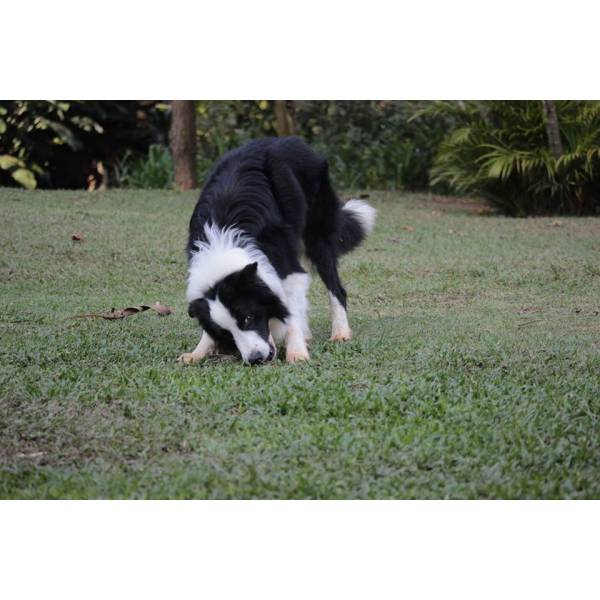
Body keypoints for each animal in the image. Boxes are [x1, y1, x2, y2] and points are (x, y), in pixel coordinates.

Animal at [177, 137, 376, 366]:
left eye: (248, 317)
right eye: (226, 333)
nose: (255, 359)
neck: (222, 241)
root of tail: (288, 140)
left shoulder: (288, 267)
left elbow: (291, 313)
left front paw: (297, 352)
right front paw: (198, 352)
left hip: (318, 237)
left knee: (336, 288)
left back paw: (340, 332)